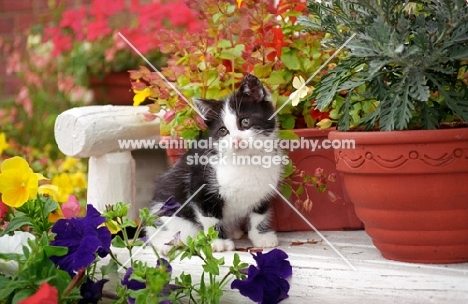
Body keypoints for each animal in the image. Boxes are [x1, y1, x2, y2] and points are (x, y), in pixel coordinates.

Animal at [148, 74, 284, 254]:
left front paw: (261, 237)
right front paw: (217, 242)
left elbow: (258, 214)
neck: (246, 160)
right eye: (223, 131)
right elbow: (210, 217)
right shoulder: (200, 184)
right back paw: (165, 243)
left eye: (245, 122)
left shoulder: (264, 188)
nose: (236, 140)